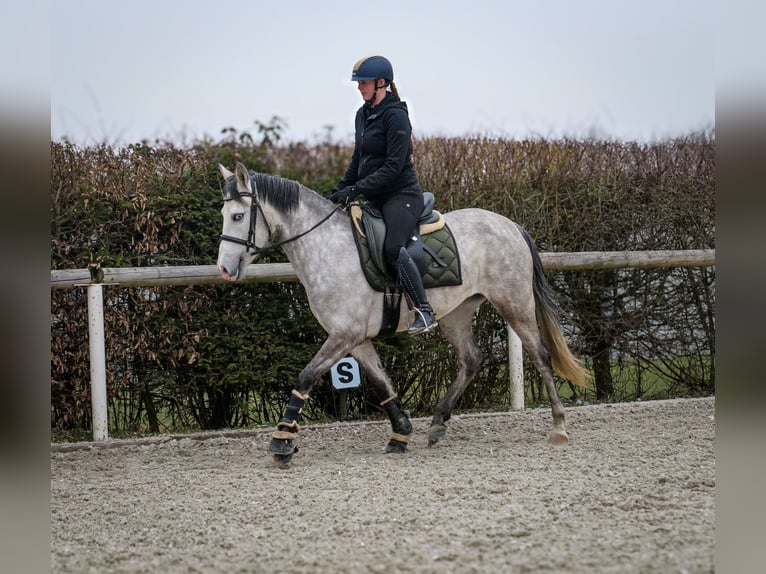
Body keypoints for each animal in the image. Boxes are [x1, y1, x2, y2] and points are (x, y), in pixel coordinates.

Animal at [219, 163, 592, 468]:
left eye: (237, 216)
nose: (224, 269)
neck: (327, 248)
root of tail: (509, 224)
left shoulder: (344, 335)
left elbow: (305, 377)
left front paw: (282, 441)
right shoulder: (355, 339)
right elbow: (382, 382)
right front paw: (401, 433)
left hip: (514, 303)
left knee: (540, 355)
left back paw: (559, 427)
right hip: (457, 313)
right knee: (472, 359)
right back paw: (438, 423)